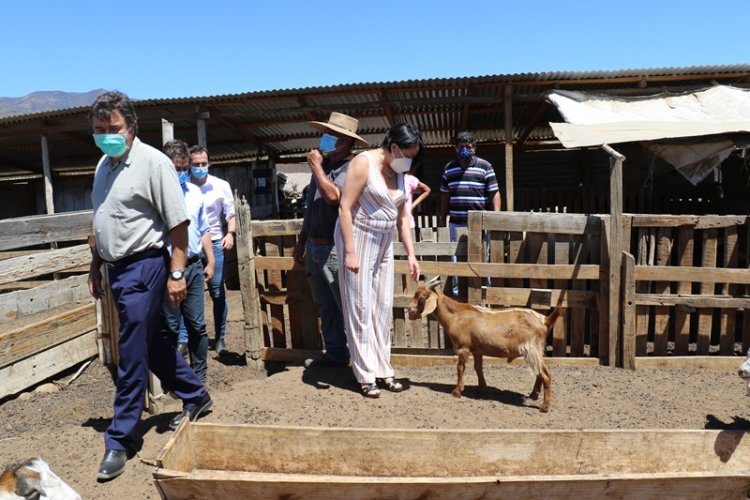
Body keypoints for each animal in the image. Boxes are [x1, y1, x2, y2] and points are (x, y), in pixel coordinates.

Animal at [408, 280, 560, 412]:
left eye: (421, 297)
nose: (410, 311)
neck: (456, 315)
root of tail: (545, 320)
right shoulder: (477, 350)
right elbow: (478, 368)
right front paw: (481, 389)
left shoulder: (463, 348)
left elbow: (460, 368)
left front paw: (457, 391)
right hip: (537, 350)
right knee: (541, 372)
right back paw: (534, 395)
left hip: (531, 349)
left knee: (546, 375)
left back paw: (544, 407)